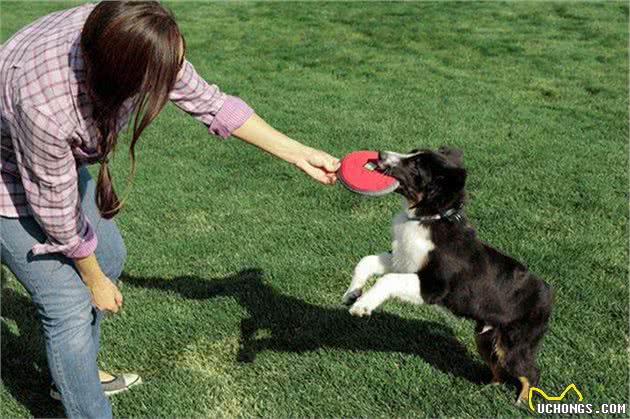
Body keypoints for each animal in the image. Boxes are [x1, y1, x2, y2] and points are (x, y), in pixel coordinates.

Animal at [344, 147, 556, 404]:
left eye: (416, 165)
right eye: (412, 153)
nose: (381, 153)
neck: (429, 219)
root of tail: (548, 292)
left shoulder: (434, 286)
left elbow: (387, 280)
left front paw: (363, 306)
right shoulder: (404, 261)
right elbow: (366, 262)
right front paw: (352, 293)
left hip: (516, 343)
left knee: (530, 372)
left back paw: (522, 402)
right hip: (485, 338)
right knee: (498, 367)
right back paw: (486, 389)